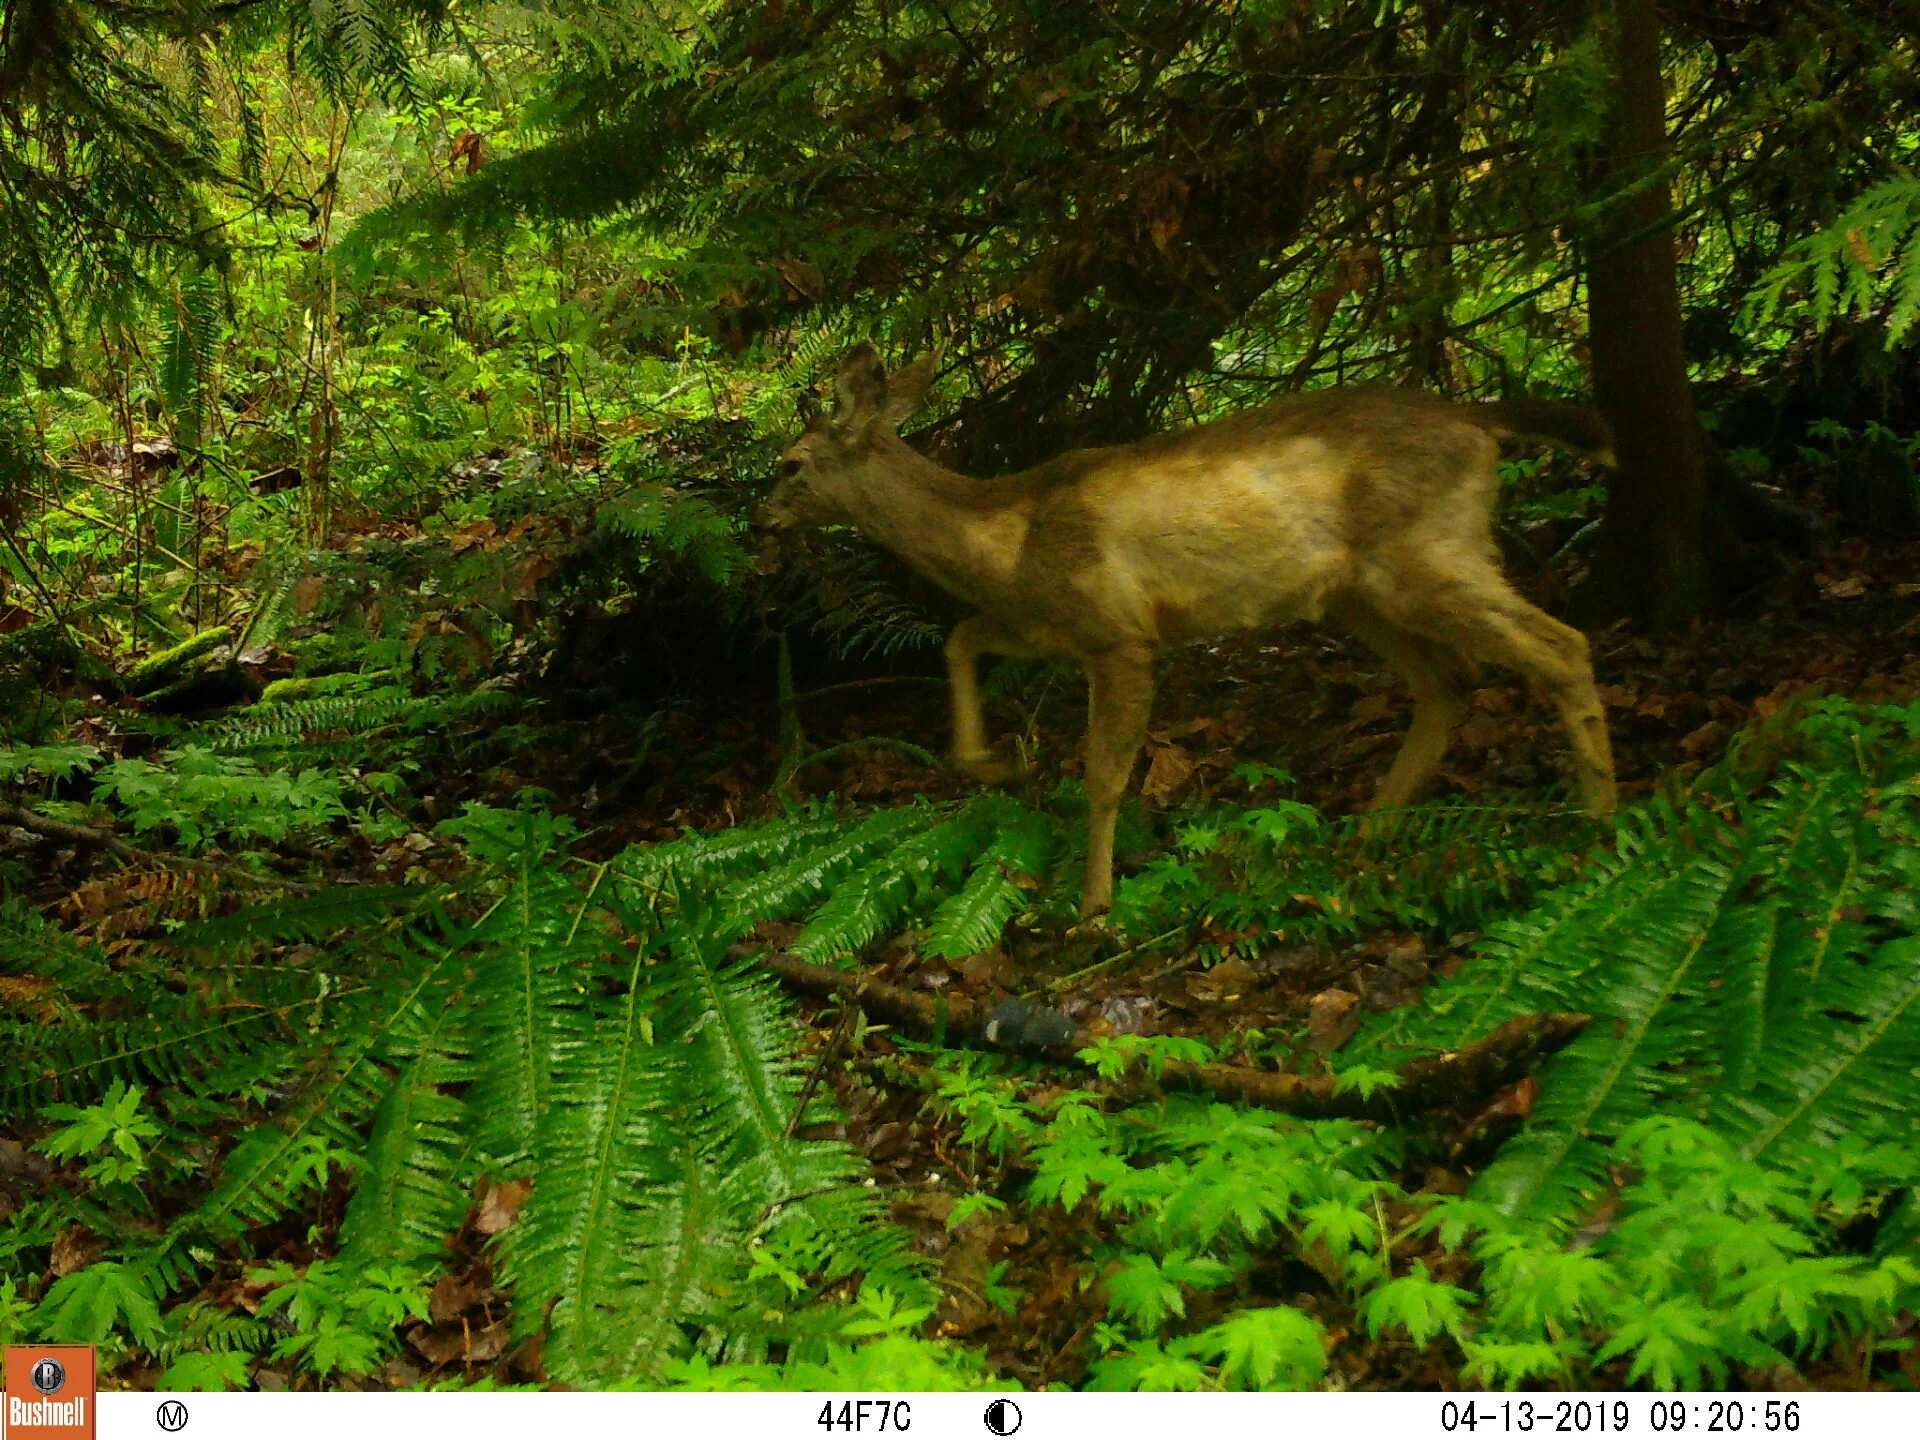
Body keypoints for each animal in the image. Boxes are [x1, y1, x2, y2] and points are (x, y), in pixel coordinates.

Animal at [760, 343, 1617, 921]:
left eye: (791, 463)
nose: (761, 515)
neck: (1006, 536)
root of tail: (1480, 419)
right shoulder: (1048, 622)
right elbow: (961, 637)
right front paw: (985, 761)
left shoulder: (1117, 633)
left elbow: (1104, 773)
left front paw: (1093, 909)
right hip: (1361, 592)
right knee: (1450, 681)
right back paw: (1364, 836)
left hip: (1425, 553)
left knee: (1560, 646)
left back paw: (1599, 827)